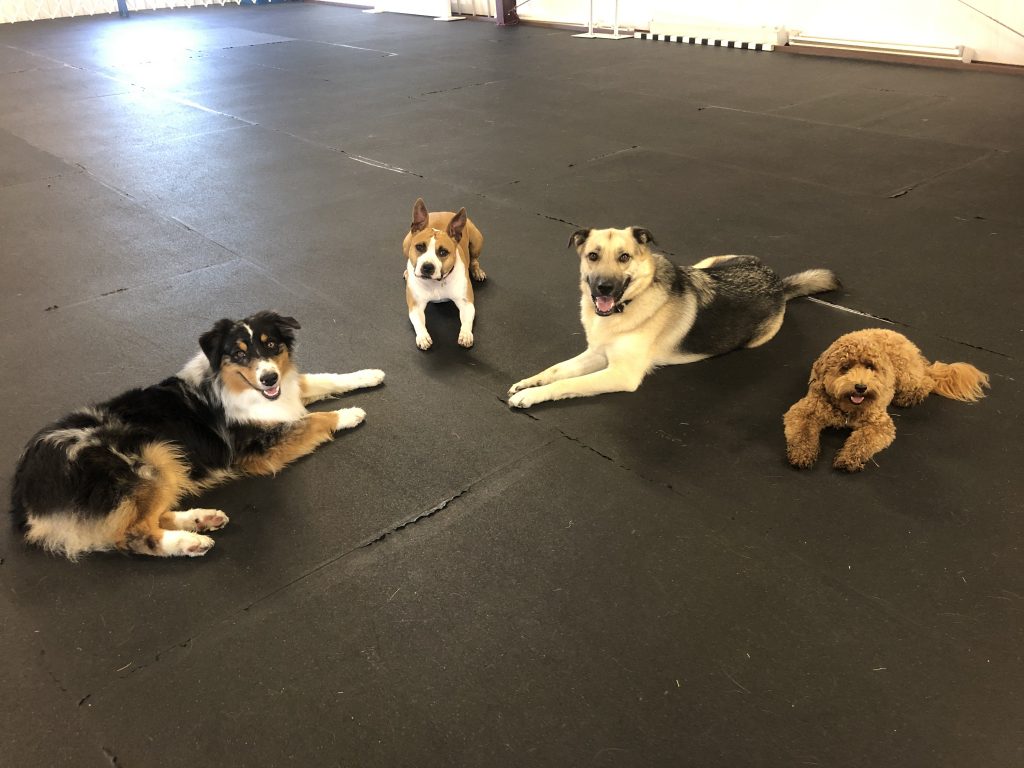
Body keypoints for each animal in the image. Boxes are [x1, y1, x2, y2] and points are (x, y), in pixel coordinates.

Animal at [9, 311, 385, 561]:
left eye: (271, 345)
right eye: (239, 353)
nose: (268, 378)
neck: (238, 386)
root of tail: (25, 498)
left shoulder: (287, 394)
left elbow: (324, 379)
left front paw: (370, 373)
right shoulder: (258, 448)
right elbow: (315, 419)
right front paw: (350, 414)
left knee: (148, 515)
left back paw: (201, 519)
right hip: (147, 457)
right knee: (133, 533)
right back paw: (189, 542)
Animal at [401, 199, 485, 354]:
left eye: (443, 252)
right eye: (420, 247)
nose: (427, 267)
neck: (437, 282)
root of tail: (443, 211)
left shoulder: (466, 302)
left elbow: (467, 319)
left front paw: (465, 334)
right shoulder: (415, 305)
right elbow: (418, 322)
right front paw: (422, 336)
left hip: (477, 240)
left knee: (474, 259)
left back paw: (477, 271)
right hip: (406, 242)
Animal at [509, 227, 839, 409]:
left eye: (624, 257)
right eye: (593, 256)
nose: (603, 287)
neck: (632, 302)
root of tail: (779, 283)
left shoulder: (621, 374)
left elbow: (566, 384)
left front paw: (532, 396)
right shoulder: (597, 353)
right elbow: (556, 370)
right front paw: (528, 383)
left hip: (754, 339)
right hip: (707, 262)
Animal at [782, 327, 991, 473]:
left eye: (870, 367)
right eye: (845, 367)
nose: (861, 387)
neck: (847, 409)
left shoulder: (879, 424)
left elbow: (862, 441)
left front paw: (848, 458)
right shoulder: (805, 410)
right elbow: (802, 433)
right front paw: (802, 454)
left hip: (906, 374)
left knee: (927, 382)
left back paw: (909, 397)